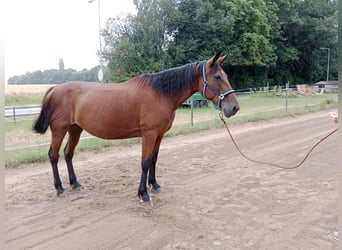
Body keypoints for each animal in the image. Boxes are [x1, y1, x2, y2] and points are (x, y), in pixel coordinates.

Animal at [33, 51, 239, 202]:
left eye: (225, 75)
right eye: (218, 77)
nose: (234, 107)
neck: (160, 93)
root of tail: (55, 89)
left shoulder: (159, 135)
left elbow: (154, 159)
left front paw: (154, 185)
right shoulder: (149, 134)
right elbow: (145, 162)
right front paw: (143, 194)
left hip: (75, 128)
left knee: (68, 154)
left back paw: (75, 184)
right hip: (59, 130)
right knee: (54, 155)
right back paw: (59, 188)